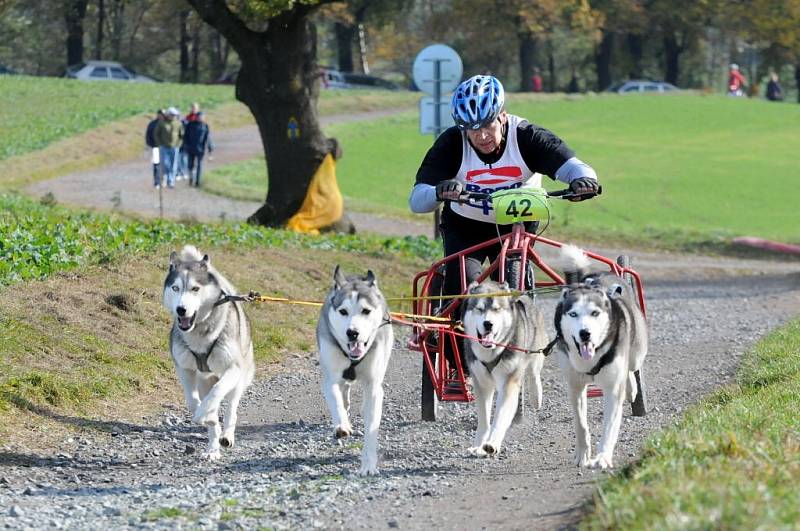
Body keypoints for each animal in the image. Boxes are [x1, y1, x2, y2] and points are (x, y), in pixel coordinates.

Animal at [166, 247, 256, 460]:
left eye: (195, 289)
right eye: (175, 288)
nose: (181, 310)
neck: (200, 334)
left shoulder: (233, 369)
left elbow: (217, 392)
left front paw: (202, 415)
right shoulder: (185, 369)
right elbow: (193, 401)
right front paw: (205, 416)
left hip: (239, 379)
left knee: (231, 407)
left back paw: (226, 435)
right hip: (203, 380)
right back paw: (212, 446)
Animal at [318, 268, 396, 476]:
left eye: (366, 311)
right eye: (343, 311)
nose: (352, 332)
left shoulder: (373, 386)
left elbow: (371, 427)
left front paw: (368, 465)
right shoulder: (330, 378)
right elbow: (335, 400)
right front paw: (342, 425)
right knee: (343, 392)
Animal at [460, 278, 548, 458]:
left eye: (497, 309)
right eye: (479, 309)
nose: (488, 324)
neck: (490, 352)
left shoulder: (508, 382)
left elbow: (499, 417)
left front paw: (492, 443)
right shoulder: (481, 383)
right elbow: (484, 419)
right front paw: (478, 445)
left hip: (535, 351)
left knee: (533, 373)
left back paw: (536, 397)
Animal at [556, 245, 648, 470]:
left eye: (595, 313)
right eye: (573, 314)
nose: (585, 333)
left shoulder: (612, 388)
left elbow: (610, 426)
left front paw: (603, 457)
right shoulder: (575, 386)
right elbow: (580, 424)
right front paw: (583, 455)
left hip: (636, 352)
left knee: (631, 368)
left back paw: (632, 389)